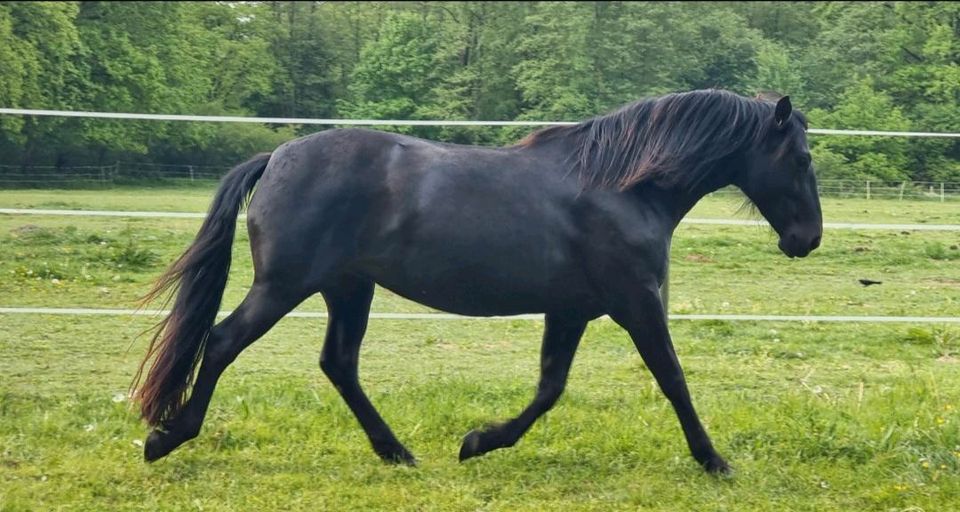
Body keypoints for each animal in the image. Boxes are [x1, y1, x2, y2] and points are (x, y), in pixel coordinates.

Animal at [135, 89, 820, 476]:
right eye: (802, 158)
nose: (807, 239)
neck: (623, 186)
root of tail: (277, 157)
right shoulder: (636, 303)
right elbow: (673, 380)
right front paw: (715, 462)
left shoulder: (572, 309)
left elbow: (549, 388)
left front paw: (479, 442)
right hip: (285, 285)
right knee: (224, 342)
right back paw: (167, 438)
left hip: (348, 288)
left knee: (338, 364)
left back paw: (398, 452)